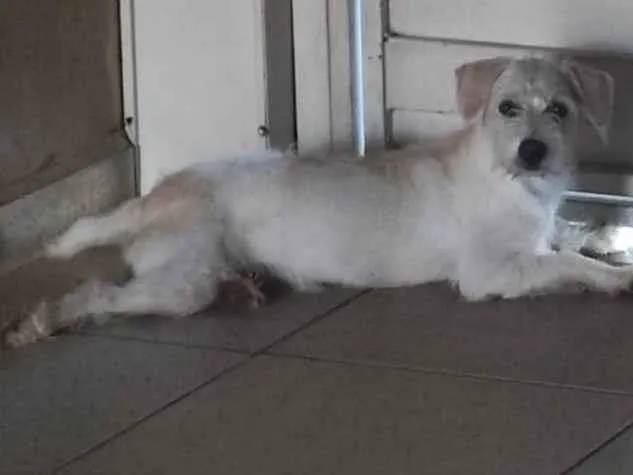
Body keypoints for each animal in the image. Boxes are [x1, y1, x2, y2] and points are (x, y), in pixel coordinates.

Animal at [5, 56, 627, 348]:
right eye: (506, 108)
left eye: (559, 110)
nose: (533, 150)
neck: (514, 181)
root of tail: (159, 194)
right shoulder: (489, 272)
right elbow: (565, 262)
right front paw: (615, 277)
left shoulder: (542, 229)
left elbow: (573, 232)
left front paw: (610, 236)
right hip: (182, 281)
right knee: (98, 293)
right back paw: (42, 321)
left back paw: (244, 285)